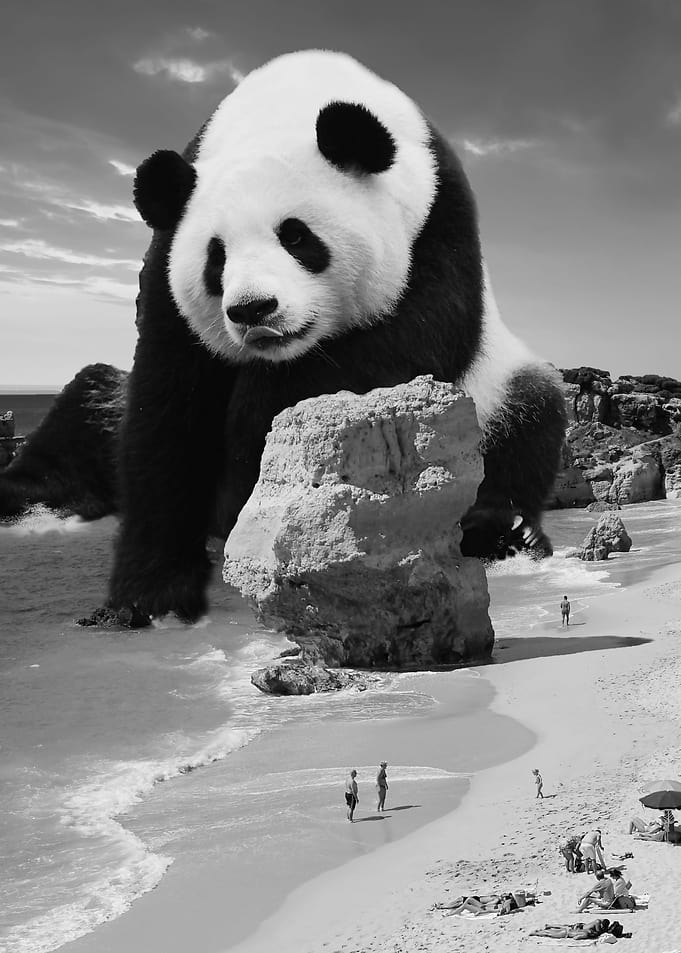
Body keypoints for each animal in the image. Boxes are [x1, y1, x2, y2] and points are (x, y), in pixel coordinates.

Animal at [108, 49, 566, 624]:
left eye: (297, 237)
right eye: (216, 256)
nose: (253, 309)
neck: (290, 102)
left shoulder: (439, 223)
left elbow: (402, 345)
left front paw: (248, 478)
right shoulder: (167, 272)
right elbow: (165, 409)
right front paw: (152, 592)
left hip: (493, 388)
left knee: (531, 419)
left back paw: (501, 529)